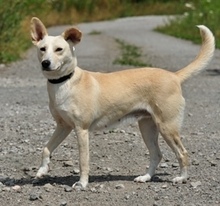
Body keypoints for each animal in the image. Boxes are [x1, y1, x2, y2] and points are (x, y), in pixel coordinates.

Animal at [30, 16, 215, 189]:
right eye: (42, 49)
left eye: (59, 49)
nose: (45, 63)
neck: (64, 82)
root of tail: (174, 76)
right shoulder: (63, 126)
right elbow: (46, 149)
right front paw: (41, 171)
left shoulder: (81, 130)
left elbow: (83, 161)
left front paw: (82, 183)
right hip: (147, 127)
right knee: (157, 154)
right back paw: (145, 177)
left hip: (167, 127)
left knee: (182, 153)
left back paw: (182, 178)